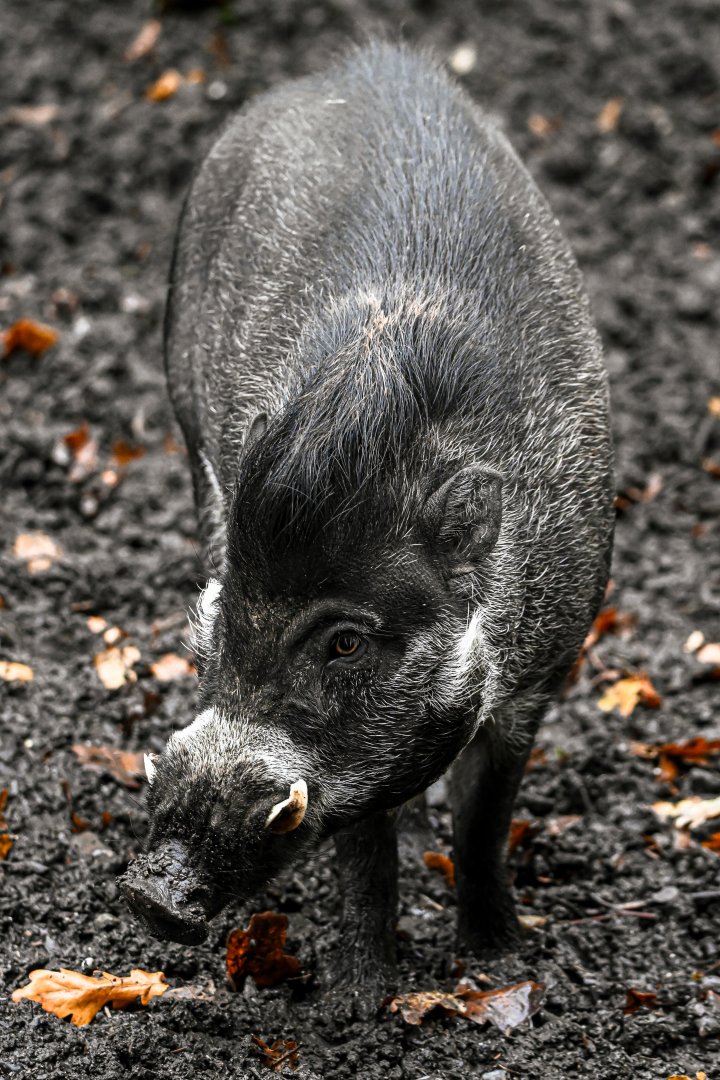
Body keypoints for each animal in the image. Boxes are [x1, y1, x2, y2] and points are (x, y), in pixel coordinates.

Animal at [120, 41, 614, 1007]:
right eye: (219, 620)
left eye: (346, 641)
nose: (150, 896)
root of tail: (356, 64)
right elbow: (365, 848)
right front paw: (362, 999)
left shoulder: (543, 673)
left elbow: (484, 822)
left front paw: (501, 960)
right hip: (188, 426)